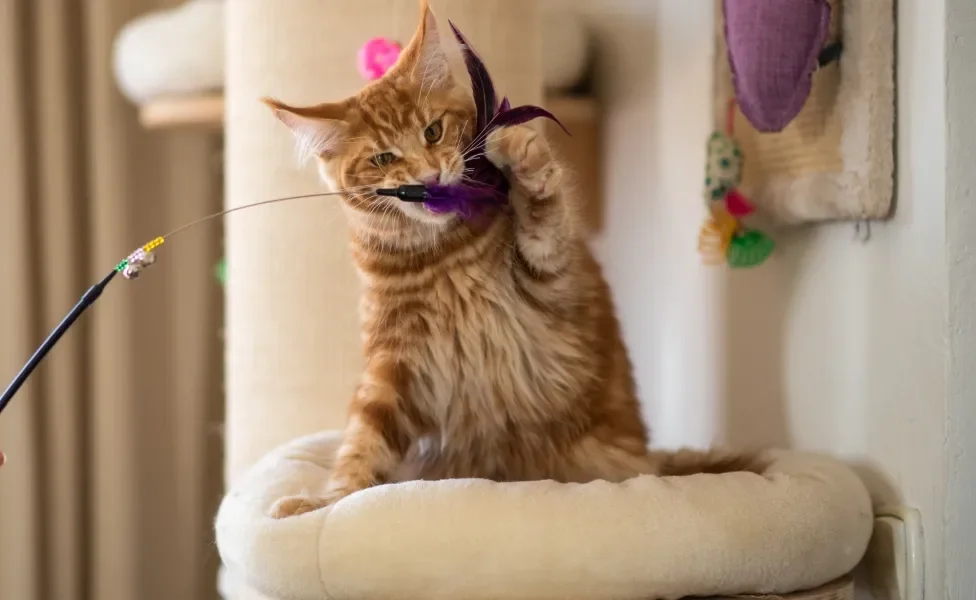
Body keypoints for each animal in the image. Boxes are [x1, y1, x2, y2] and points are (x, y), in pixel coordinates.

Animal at [264, 0, 760, 516]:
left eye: (433, 131)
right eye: (383, 158)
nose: (429, 178)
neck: (443, 258)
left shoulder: (550, 280)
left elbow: (544, 215)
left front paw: (517, 150)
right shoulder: (392, 363)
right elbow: (364, 441)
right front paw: (324, 503)